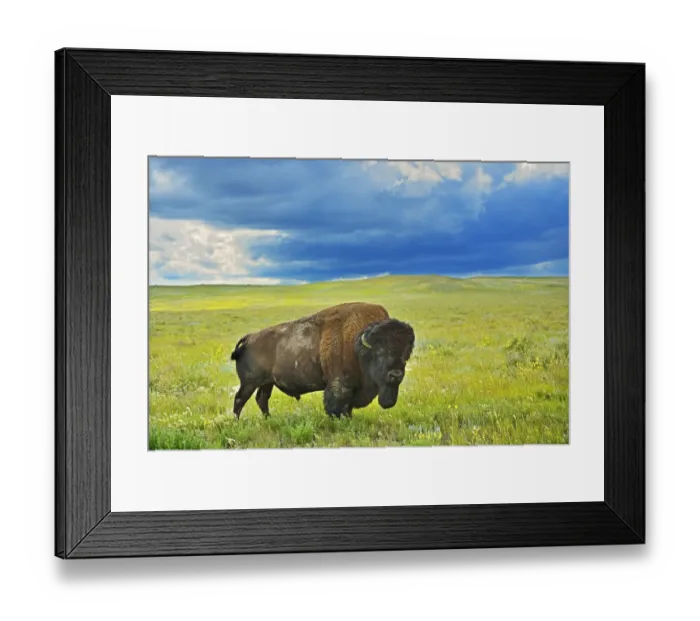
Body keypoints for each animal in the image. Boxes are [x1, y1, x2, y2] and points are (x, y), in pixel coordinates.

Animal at [230, 302, 415, 419]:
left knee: (262, 399)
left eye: (406, 354)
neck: (359, 345)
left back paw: (269, 419)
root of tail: (249, 338)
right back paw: (237, 423)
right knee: (239, 400)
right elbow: (337, 406)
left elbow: (347, 407)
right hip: (249, 383)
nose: (396, 374)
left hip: (267, 383)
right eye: (380, 352)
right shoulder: (340, 386)